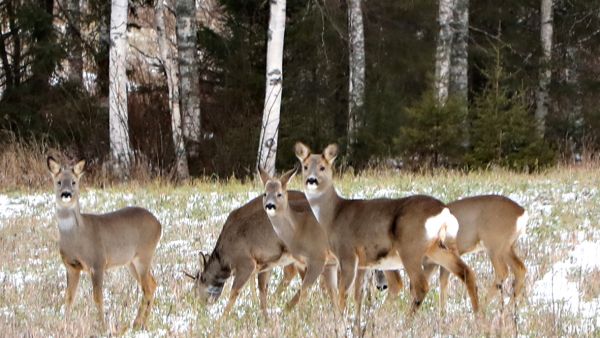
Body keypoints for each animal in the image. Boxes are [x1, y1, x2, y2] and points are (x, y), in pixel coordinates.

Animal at [46, 157, 162, 332]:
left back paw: (138, 324)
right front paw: (63, 326)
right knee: (152, 284)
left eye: (73, 182)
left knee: (147, 287)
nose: (66, 194)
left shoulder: (98, 262)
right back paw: (141, 324)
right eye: (58, 182)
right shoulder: (71, 267)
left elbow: (97, 297)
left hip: (144, 254)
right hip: (131, 262)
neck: (77, 237)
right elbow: (69, 297)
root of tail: (159, 224)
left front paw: (103, 327)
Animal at [258, 166, 340, 312]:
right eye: (265, 193)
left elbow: (304, 292)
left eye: (279, 194)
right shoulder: (305, 263)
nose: (269, 205)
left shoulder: (318, 258)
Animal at [294, 141, 478, 316]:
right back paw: (478, 316)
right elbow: (357, 295)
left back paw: (405, 321)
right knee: (467, 272)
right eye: (305, 166)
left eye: (322, 167)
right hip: (436, 247)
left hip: (410, 248)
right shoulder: (363, 263)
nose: (311, 180)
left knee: (420, 286)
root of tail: (443, 211)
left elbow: (343, 294)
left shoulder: (347, 253)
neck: (334, 215)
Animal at [378, 194, 528, 312]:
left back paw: (485, 305)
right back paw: (509, 307)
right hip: (507, 247)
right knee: (520, 268)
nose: (381, 286)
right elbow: (441, 283)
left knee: (503, 271)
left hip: (495, 245)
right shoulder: (434, 263)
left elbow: (417, 287)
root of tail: (522, 212)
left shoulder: (429, 262)